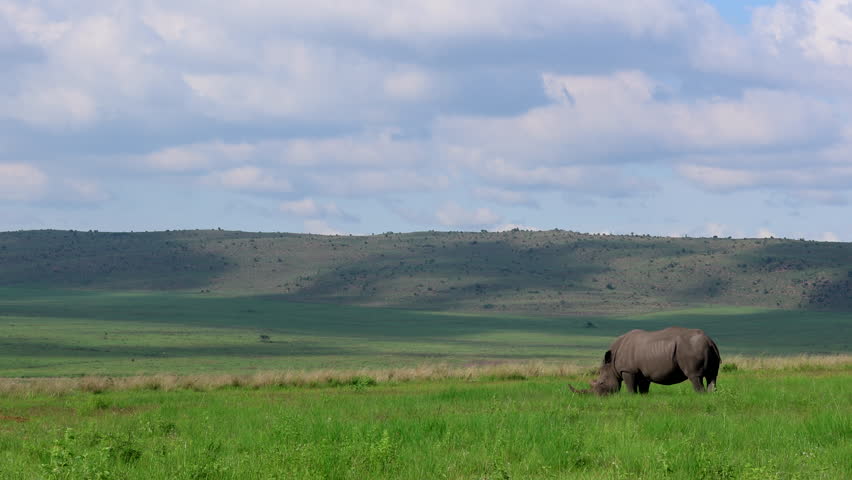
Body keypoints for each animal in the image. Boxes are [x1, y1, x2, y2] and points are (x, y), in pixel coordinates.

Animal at [569, 327, 720, 395]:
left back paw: (700, 396)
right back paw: (711, 395)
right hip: (706, 347)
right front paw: (642, 398)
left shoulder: (627, 370)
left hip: (691, 348)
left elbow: (630, 387)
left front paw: (630, 397)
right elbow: (643, 389)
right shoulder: (644, 372)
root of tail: (710, 341)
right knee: (712, 376)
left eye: (601, 383)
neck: (611, 364)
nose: (597, 397)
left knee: (695, 376)